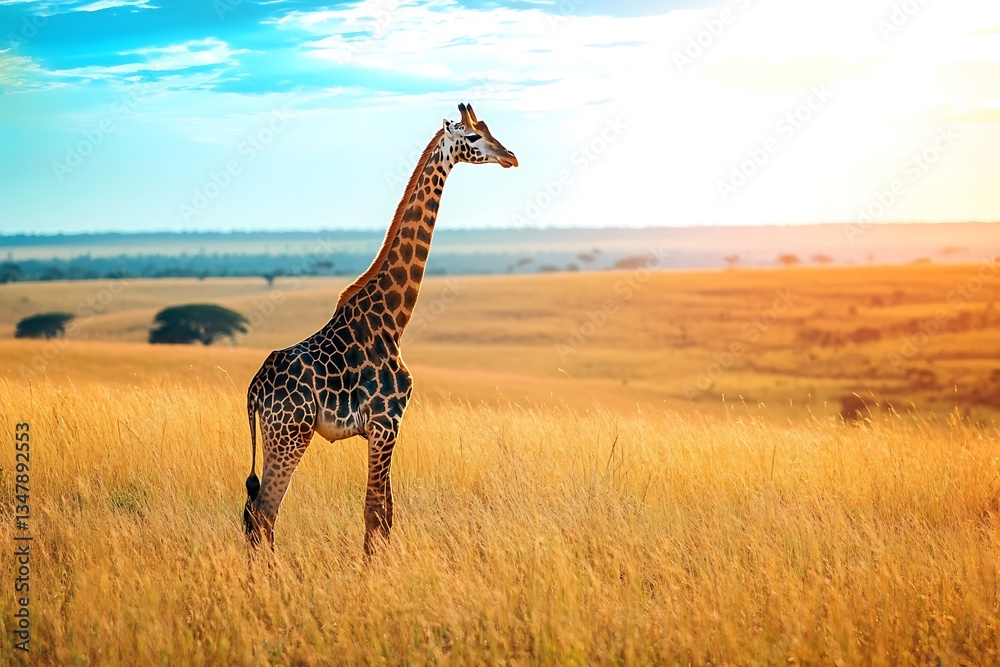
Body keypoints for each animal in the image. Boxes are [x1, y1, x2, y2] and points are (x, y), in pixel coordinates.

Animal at [243, 103, 518, 556]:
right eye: (474, 137)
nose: (511, 157)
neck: (392, 321)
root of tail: (253, 391)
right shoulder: (386, 422)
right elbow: (374, 513)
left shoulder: (385, 427)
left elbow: (387, 514)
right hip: (290, 435)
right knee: (264, 513)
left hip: (274, 436)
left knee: (251, 514)